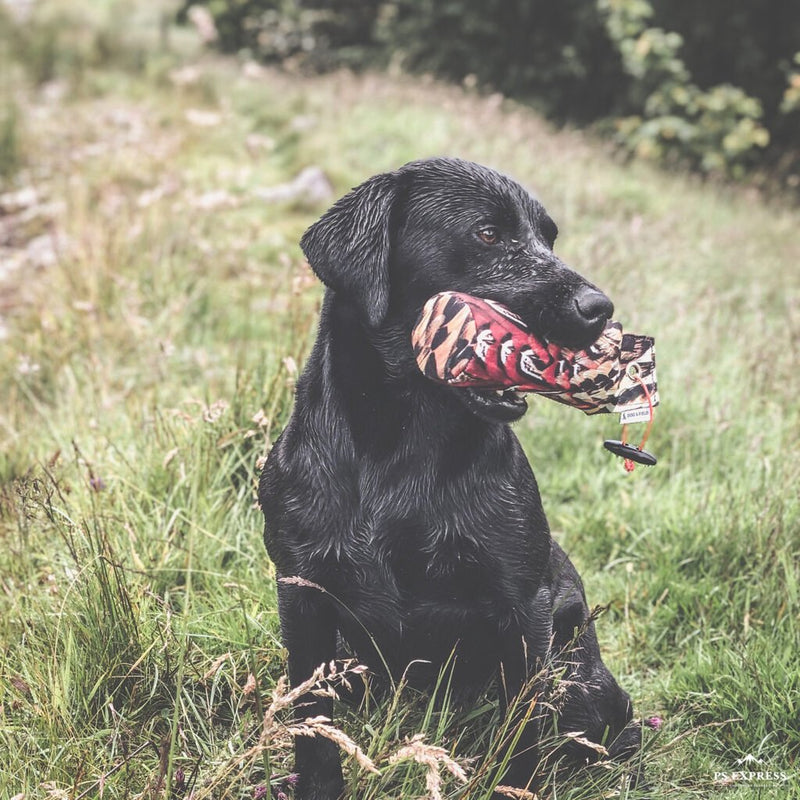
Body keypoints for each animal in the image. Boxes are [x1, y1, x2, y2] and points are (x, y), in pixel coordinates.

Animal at [260, 158, 640, 800]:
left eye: (548, 238)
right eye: (487, 233)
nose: (600, 308)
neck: (403, 452)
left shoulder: (522, 609)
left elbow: (520, 735)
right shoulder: (302, 593)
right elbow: (313, 729)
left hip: (583, 686)